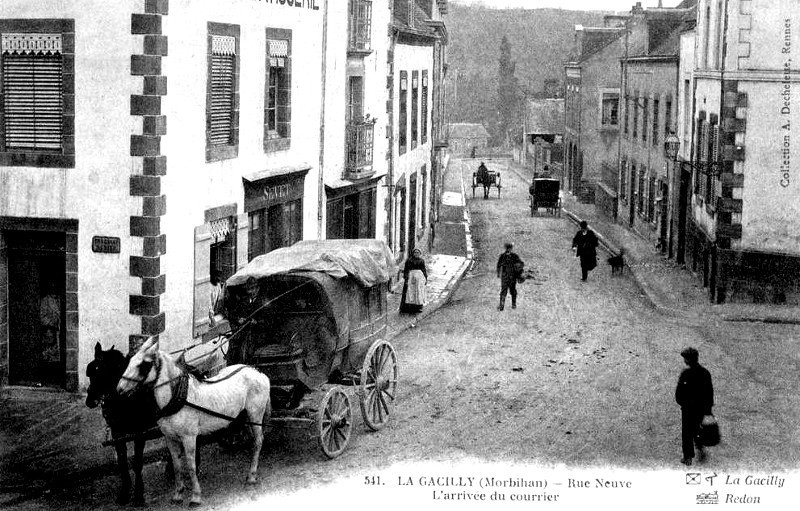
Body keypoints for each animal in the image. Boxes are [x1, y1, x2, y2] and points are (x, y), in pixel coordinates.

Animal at [85, 342, 162, 506]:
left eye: (102, 371)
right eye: (90, 372)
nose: (90, 401)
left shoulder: (140, 433)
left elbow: (137, 463)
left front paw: (139, 494)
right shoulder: (117, 433)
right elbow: (122, 462)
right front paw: (125, 492)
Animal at [117, 338, 270, 506]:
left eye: (143, 364)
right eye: (130, 361)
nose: (119, 389)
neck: (178, 397)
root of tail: (257, 371)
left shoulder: (189, 437)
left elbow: (190, 466)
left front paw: (196, 496)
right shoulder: (170, 438)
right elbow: (177, 466)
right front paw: (178, 494)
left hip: (255, 415)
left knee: (258, 442)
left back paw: (252, 476)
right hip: (245, 418)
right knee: (253, 440)